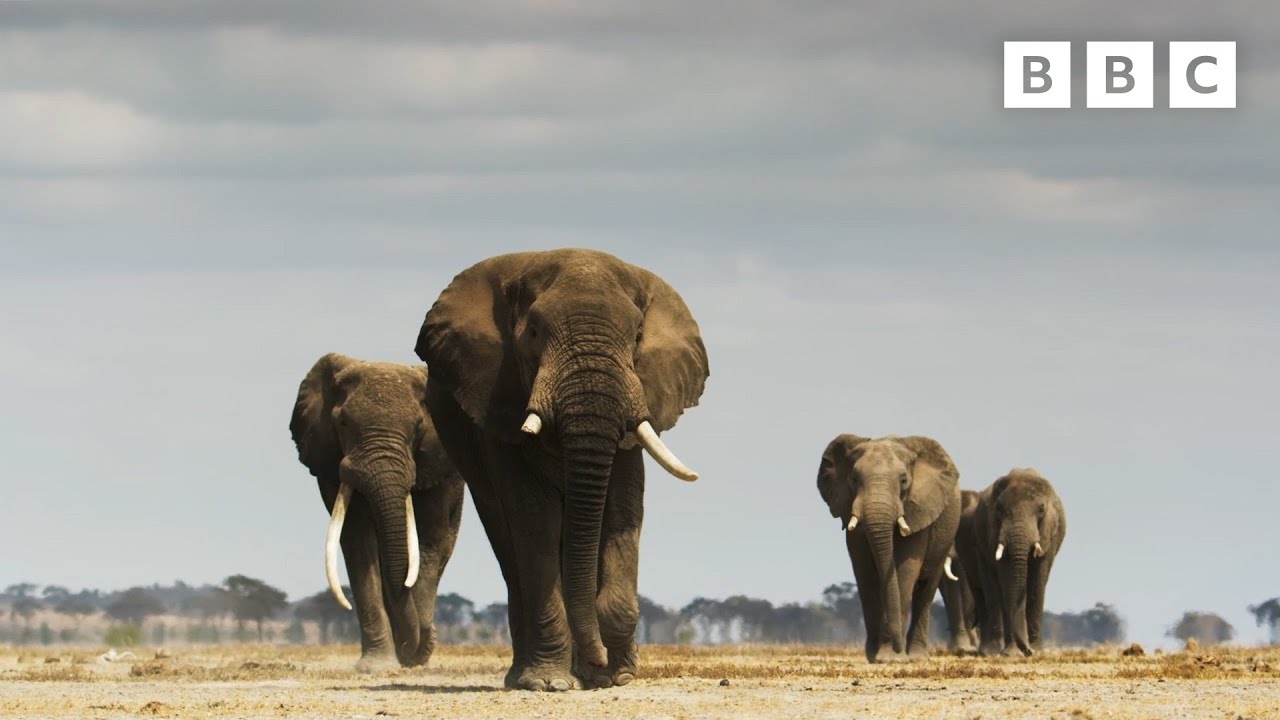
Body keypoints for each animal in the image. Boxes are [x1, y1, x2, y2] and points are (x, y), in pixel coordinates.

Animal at [290, 353, 465, 672]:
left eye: (418, 427)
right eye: (343, 422)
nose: (416, 649)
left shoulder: (440, 468)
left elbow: (428, 542)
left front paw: (413, 655)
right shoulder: (331, 465)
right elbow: (358, 541)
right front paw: (377, 666)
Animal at [414, 249, 708, 691]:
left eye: (638, 335)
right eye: (534, 332)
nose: (599, 657)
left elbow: (621, 510)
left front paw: (616, 675)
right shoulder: (499, 397)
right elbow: (535, 519)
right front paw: (549, 683)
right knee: (509, 545)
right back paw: (525, 676)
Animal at [817, 434, 961, 662]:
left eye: (903, 481)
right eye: (854, 479)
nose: (896, 646)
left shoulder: (918, 508)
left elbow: (904, 571)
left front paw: (891, 658)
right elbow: (865, 573)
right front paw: (875, 657)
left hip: (946, 536)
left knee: (927, 587)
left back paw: (917, 657)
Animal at [970, 468, 1066, 656]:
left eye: (1041, 509)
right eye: (999, 508)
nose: (1028, 651)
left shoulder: (1048, 534)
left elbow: (1037, 583)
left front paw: (1037, 651)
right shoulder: (995, 531)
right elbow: (1007, 581)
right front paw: (1011, 653)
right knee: (992, 591)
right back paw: (993, 651)